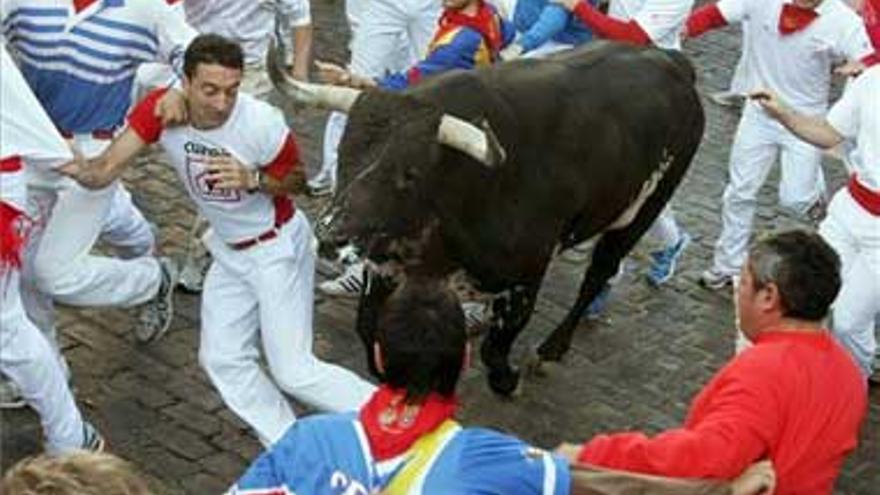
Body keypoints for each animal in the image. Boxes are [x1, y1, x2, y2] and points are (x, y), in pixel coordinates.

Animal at [306, 43, 704, 400]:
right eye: (343, 153)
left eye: (410, 173)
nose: (328, 236)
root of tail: (671, 60)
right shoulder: (385, 262)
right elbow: (367, 327)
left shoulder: (527, 274)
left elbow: (497, 346)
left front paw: (507, 380)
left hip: (643, 209)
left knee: (598, 274)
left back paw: (550, 350)